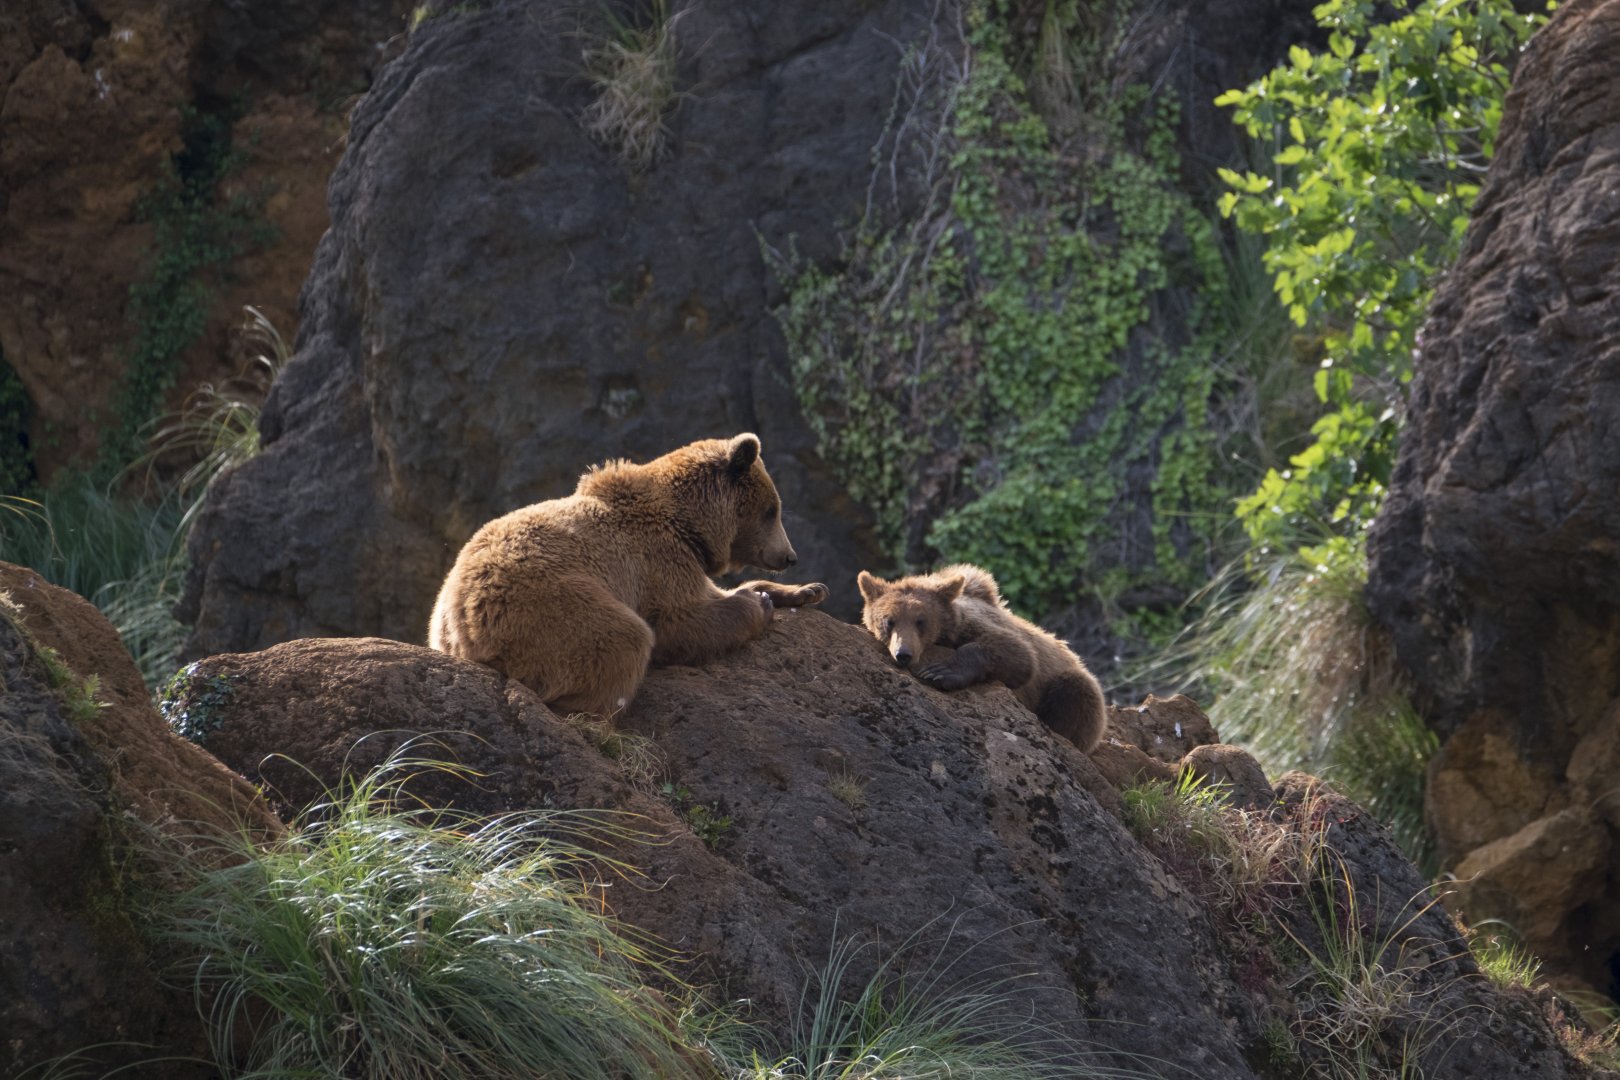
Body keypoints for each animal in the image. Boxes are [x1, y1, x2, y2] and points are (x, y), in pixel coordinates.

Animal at [429, 433, 828, 717]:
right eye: (772, 510)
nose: (790, 556)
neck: (688, 525)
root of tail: (461, 633)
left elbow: (716, 594)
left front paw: (805, 590)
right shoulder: (655, 561)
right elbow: (679, 623)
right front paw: (759, 604)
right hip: (547, 608)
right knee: (624, 638)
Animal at [857, 563, 1107, 753]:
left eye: (921, 621)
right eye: (889, 621)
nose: (904, 654)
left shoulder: (973, 626)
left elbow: (1020, 656)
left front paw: (940, 672)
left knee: (1076, 691)